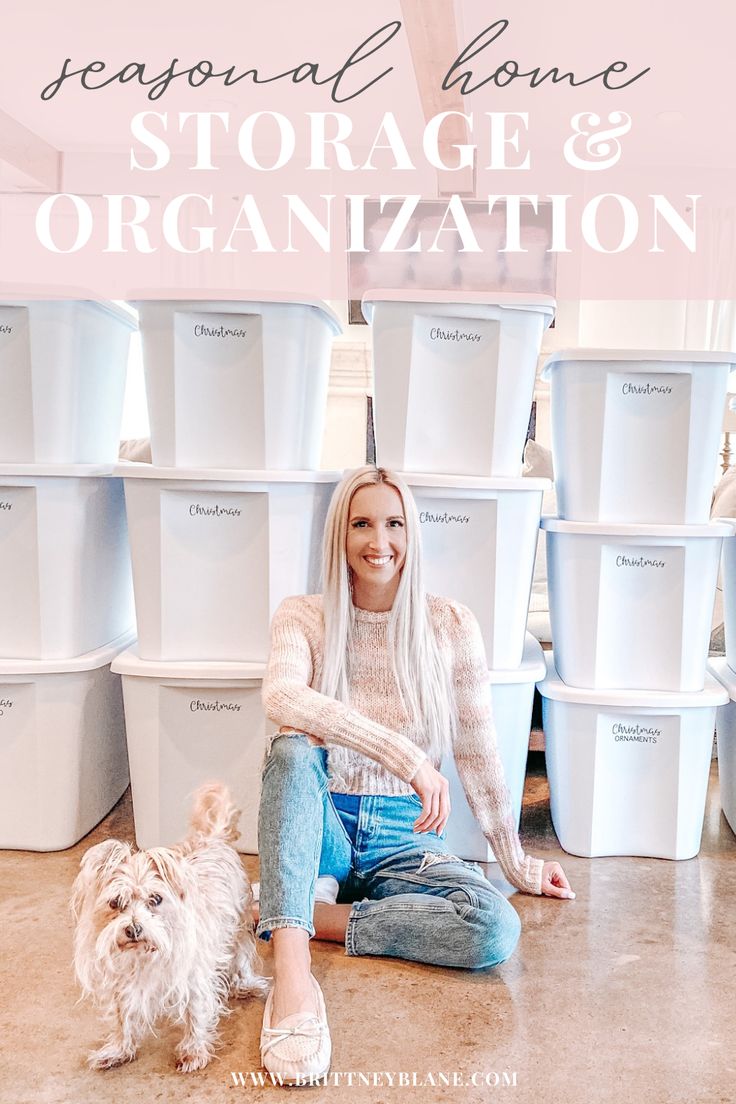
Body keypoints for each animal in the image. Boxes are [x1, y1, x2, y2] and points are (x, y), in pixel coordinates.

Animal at [71, 786, 268, 1068]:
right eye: (115, 902)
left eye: (155, 899)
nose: (133, 929)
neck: (144, 956)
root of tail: (212, 839)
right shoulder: (122, 984)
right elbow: (121, 1017)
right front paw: (119, 1049)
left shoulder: (194, 976)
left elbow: (195, 1012)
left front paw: (194, 1051)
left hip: (239, 927)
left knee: (241, 958)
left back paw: (246, 984)